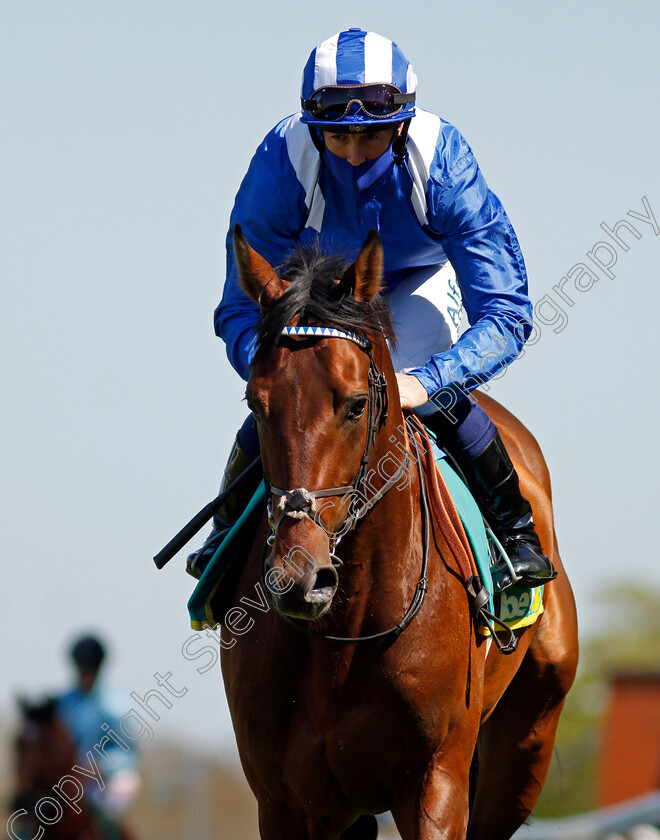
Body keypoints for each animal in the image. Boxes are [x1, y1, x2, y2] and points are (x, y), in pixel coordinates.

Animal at [218, 225, 576, 840]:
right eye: (255, 404)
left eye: (357, 404)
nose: (299, 577)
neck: (346, 632)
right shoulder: (286, 801)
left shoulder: (438, 779)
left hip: (525, 745)